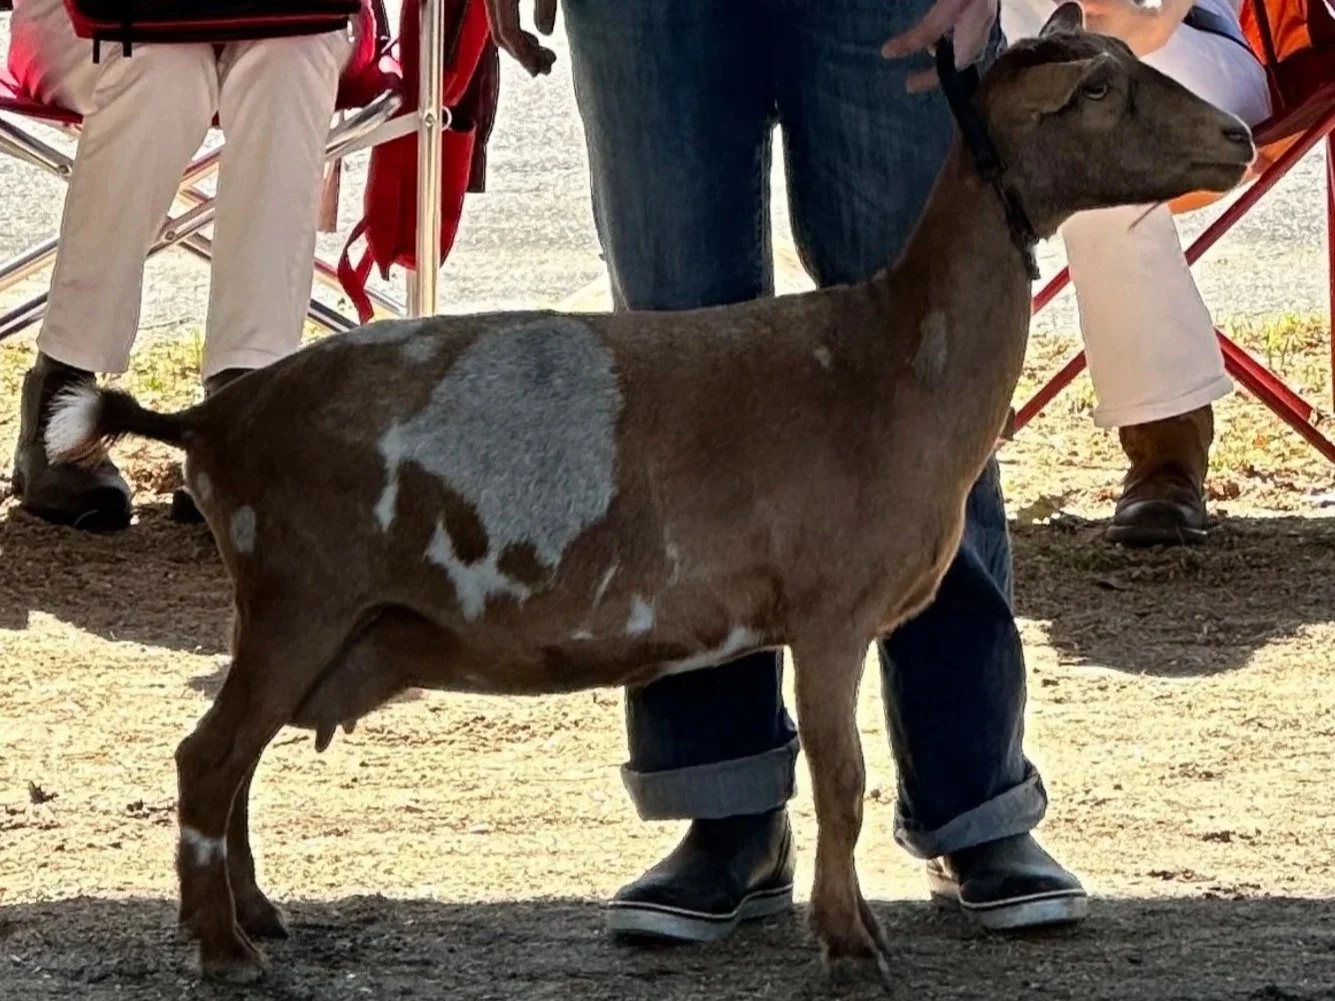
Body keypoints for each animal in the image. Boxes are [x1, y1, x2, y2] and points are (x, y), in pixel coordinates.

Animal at [45, 4, 1253, 984]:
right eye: (1094, 91)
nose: (1236, 139)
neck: (888, 359)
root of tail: (212, 423)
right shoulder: (827, 612)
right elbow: (843, 778)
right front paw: (851, 945)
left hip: (304, 616)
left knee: (237, 761)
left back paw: (258, 914)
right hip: (297, 592)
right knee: (210, 758)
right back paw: (222, 947)